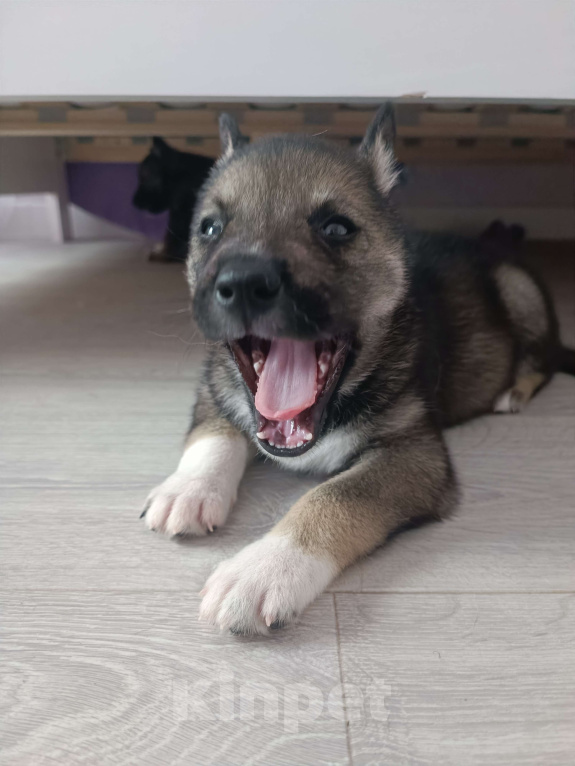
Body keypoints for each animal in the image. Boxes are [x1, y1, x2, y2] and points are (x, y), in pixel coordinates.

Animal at [142, 106, 572, 636]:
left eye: (337, 229)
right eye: (209, 229)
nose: (242, 283)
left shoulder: (414, 456)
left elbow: (335, 496)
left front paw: (264, 569)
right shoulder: (216, 387)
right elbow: (214, 434)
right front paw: (188, 488)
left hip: (519, 291)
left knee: (543, 358)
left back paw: (514, 390)